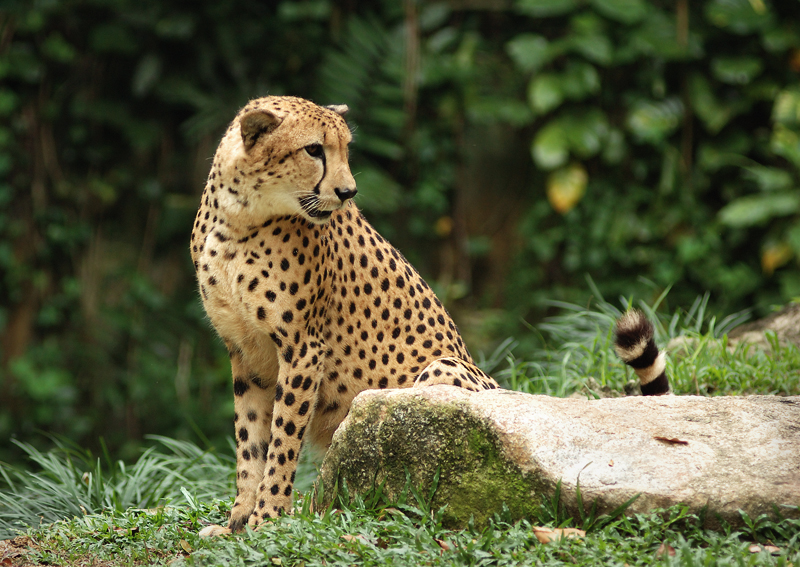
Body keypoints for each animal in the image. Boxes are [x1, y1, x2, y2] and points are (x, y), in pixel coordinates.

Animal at [189, 95, 668, 536]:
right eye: (313, 150)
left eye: (345, 149)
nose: (348, 193)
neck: (240, 218)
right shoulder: (245, 353)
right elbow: (251, 441)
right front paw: (238, 520)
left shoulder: (303, 348)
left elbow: (282, 440)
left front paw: (267, 518)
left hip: (439, 373)